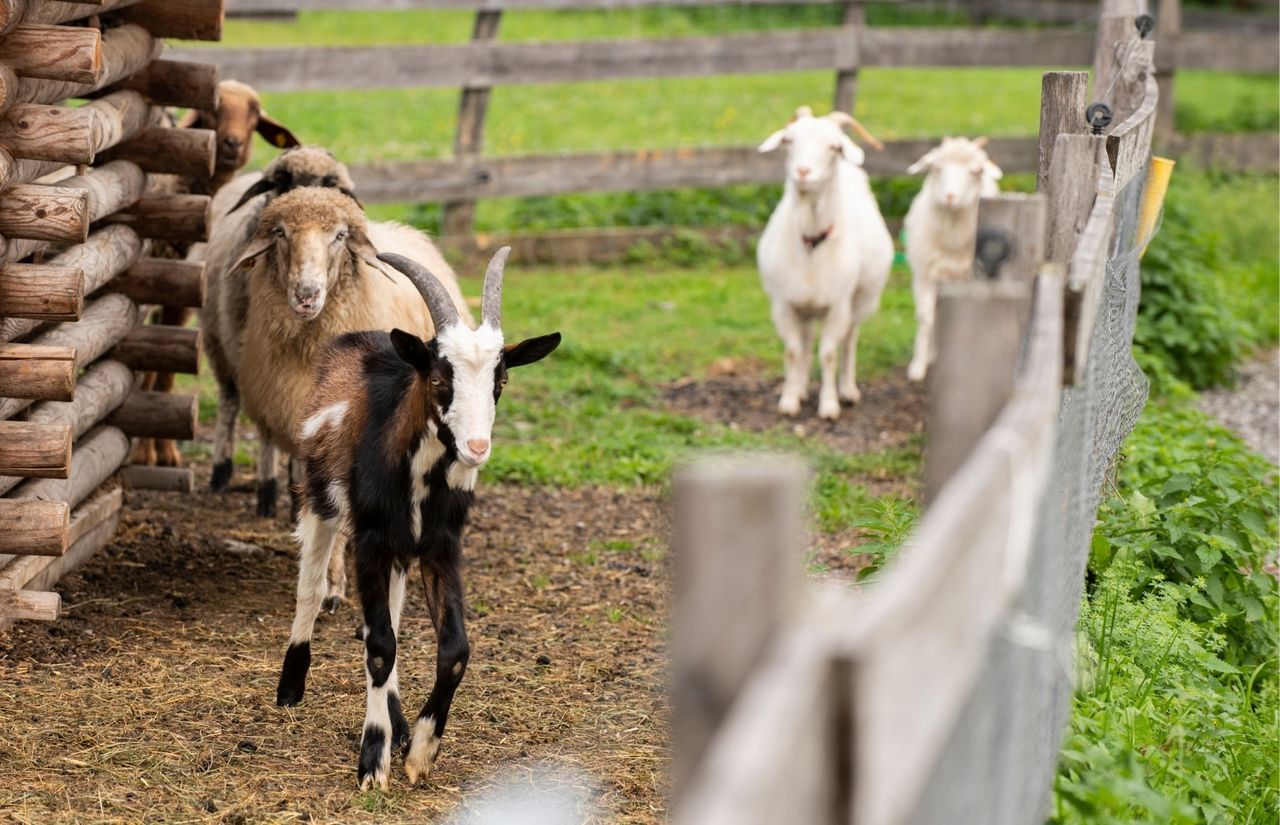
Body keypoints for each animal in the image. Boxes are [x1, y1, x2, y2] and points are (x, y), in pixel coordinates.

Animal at [275, 248, 560, 787]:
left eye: (501, 380)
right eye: (440, 377)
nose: (476, 448)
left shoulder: (439, 546)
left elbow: (454, 650)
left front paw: (422, 748)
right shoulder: (369, 539)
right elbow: (379, 645)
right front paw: (373, 761)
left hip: (399, 549)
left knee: (387, 613)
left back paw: (399, 719)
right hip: (319, 498)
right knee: (312, 588)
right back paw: (290, 687)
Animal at [752, 105, 896, 419]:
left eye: (834, 147)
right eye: (789, 140)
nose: (803, 172)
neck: (811, 243)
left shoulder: (837, 306)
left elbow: (829, 354)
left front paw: (829, 405)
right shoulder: (785, 304)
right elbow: (793, 351)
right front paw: (790, 399)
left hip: (860, 300)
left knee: (850, 341)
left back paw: (848, 390)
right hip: (805, 307)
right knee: (806, 343)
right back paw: (802, 387)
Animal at [906, 136, 1003, 381]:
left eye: (975, 171)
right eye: (936, 168)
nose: (950, 197)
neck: (952, 239)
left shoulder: (971, 277)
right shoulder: (924, 275)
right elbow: (927, 319)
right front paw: (919, 366)